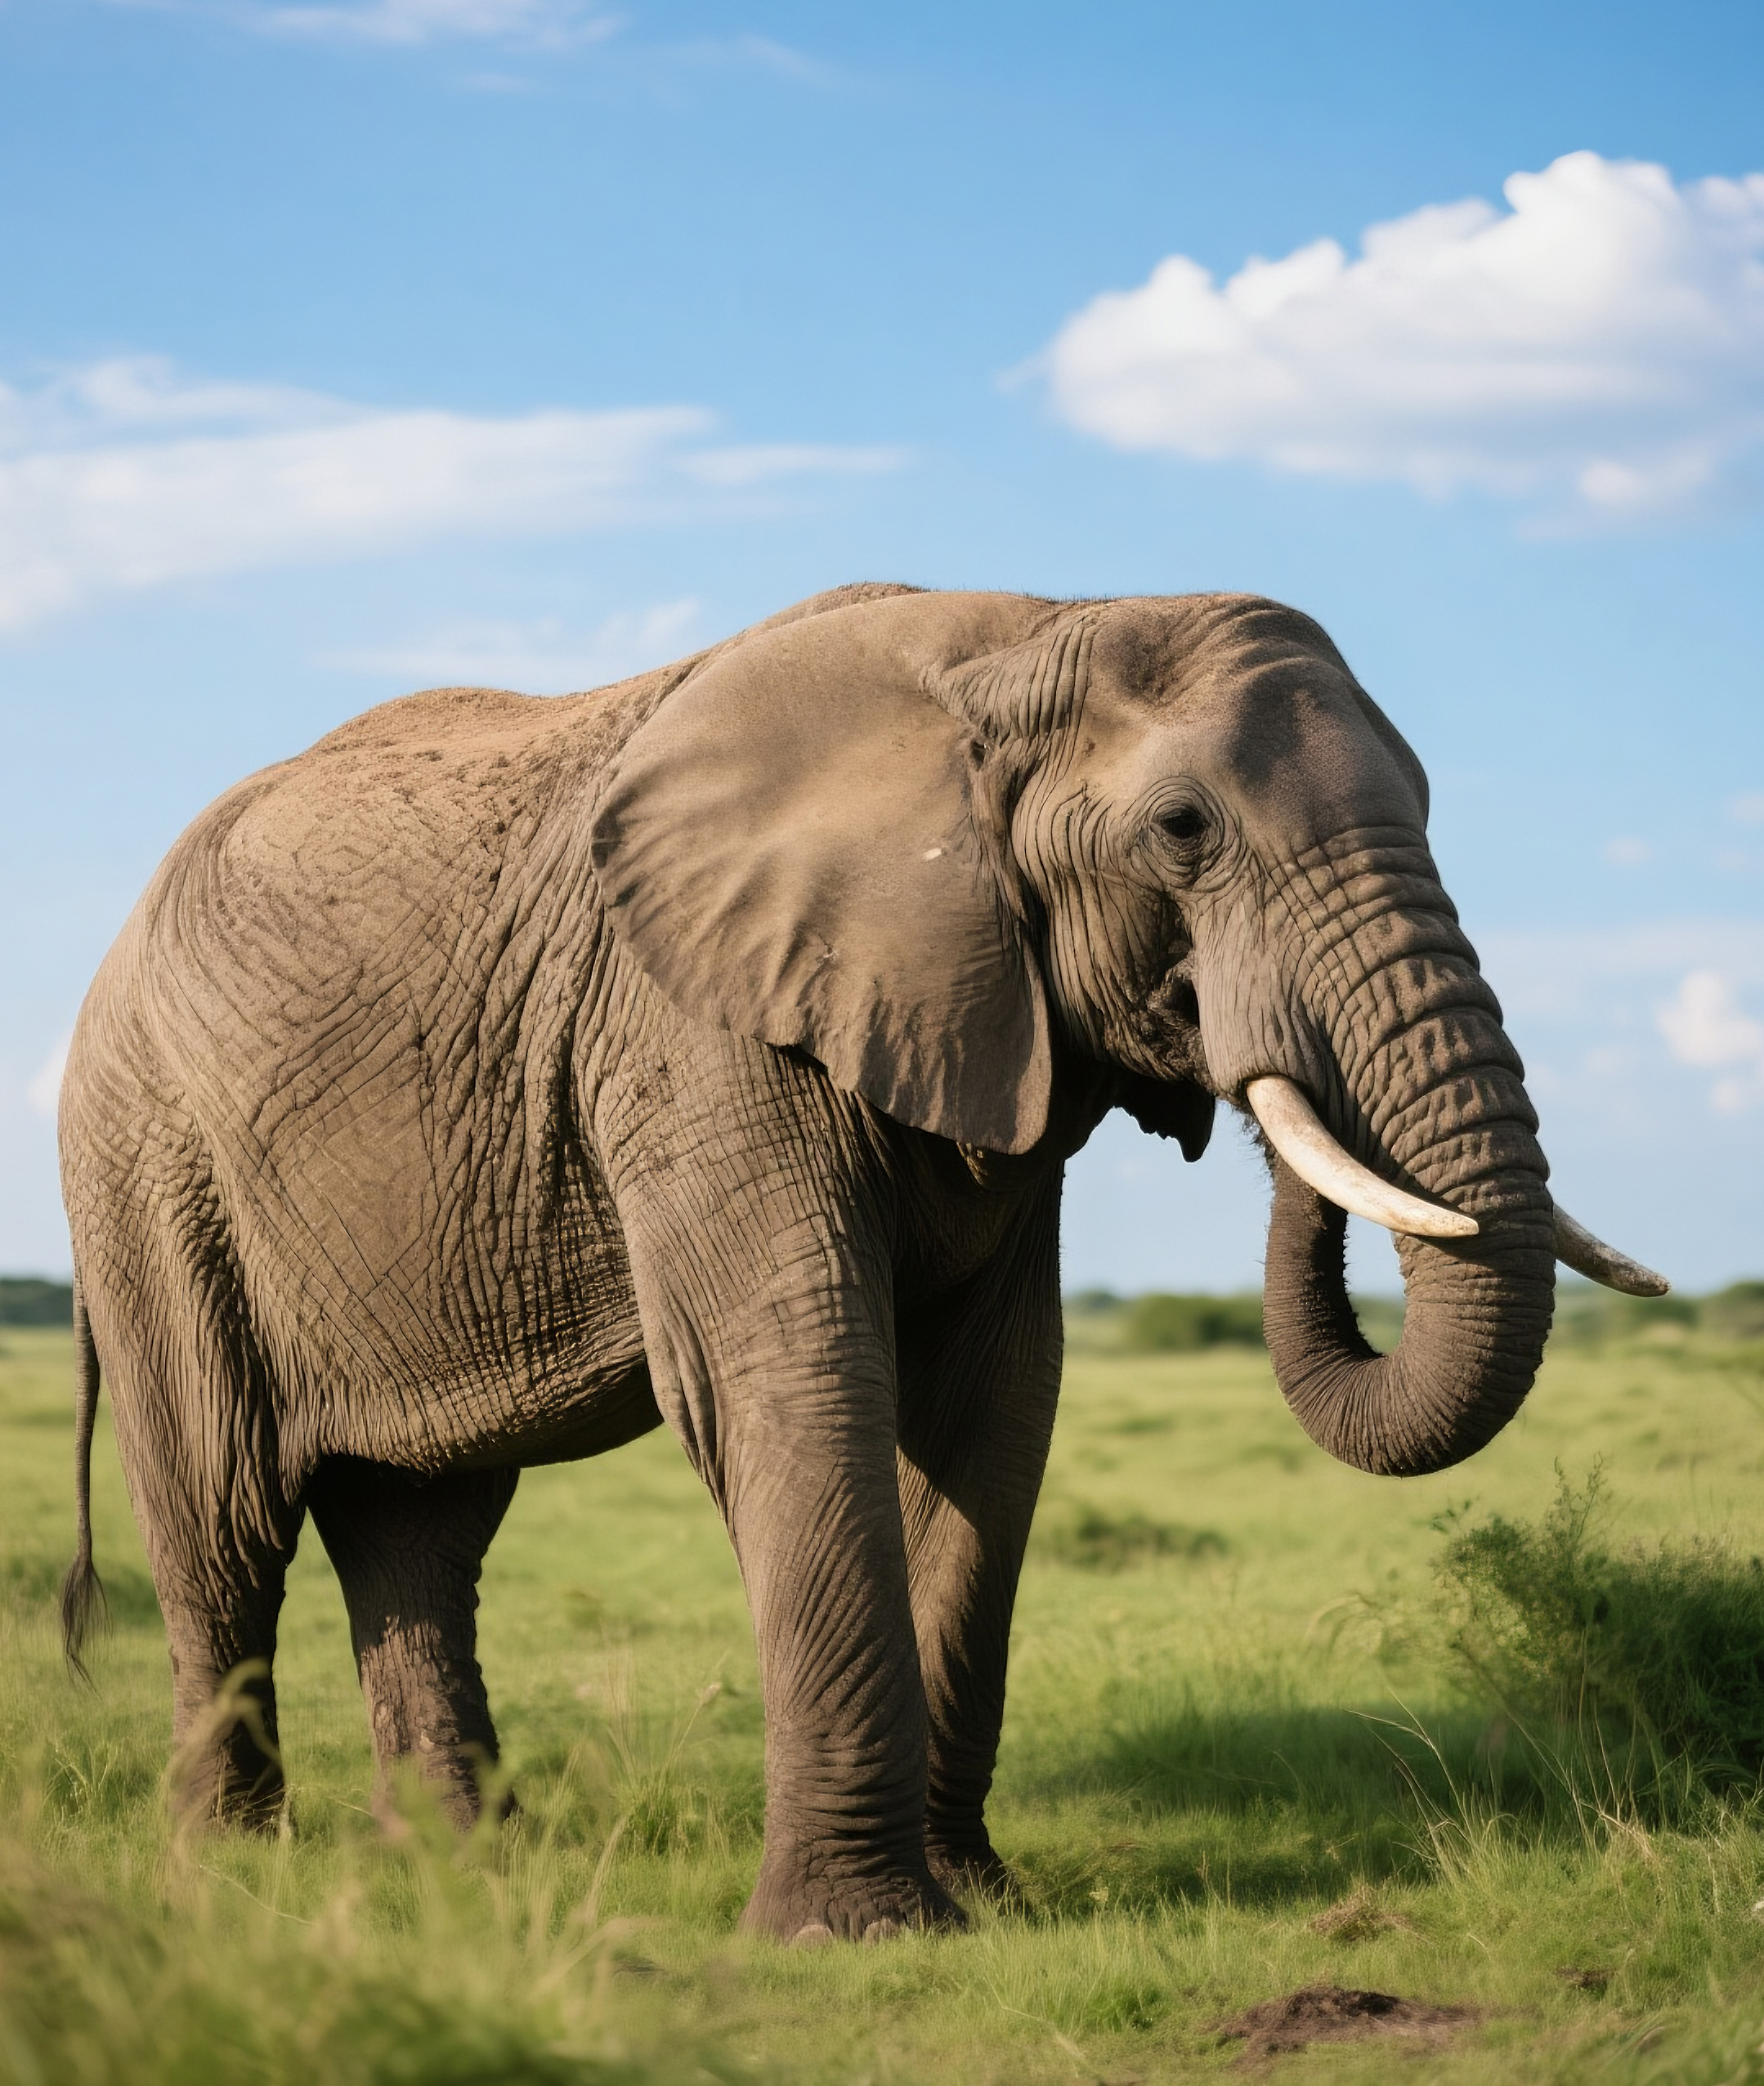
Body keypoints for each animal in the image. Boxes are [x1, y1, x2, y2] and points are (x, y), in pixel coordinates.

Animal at [58, 582, 1662, 1942]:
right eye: (1183, 829)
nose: (1232, 1045)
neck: (1026, 630)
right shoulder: (696, 1029)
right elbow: (795, 1380)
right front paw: (857, 1933)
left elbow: (992, 1407)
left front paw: (982, 1907)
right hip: (145, 1164)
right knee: (220, 1518)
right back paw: (229, 1880)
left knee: (423, 1530)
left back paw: (460, 1873)